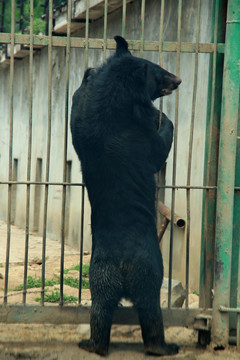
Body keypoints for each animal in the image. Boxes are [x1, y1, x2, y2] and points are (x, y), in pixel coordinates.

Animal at [70, 35, 181, 356]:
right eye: (159, 71)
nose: (179, 79)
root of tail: (121, 264)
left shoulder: (80, 118)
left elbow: (77, 103)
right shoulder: (139, 137)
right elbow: (159, 146)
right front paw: (163, 116)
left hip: (98, 275)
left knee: (100, 307)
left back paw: (92, 343)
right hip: (150, 270)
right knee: (150, 308)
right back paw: (164, 347)